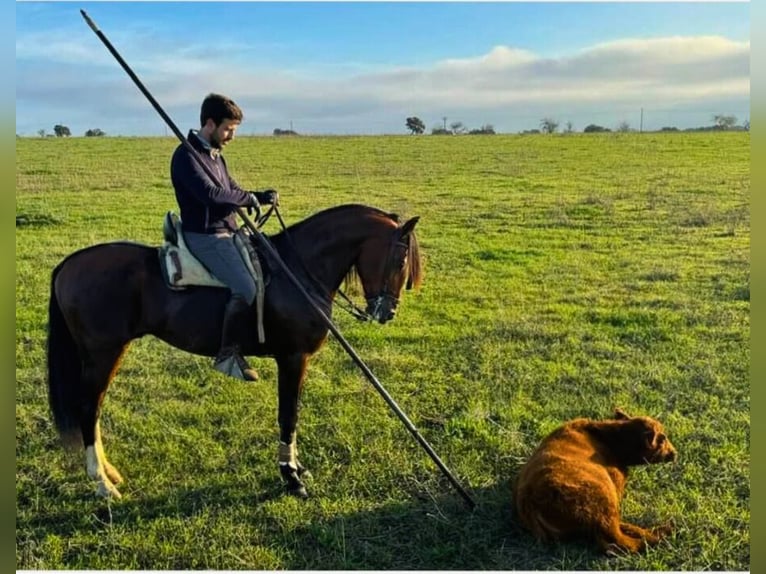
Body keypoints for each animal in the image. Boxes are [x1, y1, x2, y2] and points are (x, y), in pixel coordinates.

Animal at [45, 205, 424, 502]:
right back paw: (102, 484)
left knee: (93, 411)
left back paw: (109, 473)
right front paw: (291, 477)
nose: (387, 312)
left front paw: (297, 469)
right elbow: (288, 416)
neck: (297, 271)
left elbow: (293, 413)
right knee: (88, 408)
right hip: (102, 353)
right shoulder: (292, 358)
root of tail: (69, 264)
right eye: (401, 258)